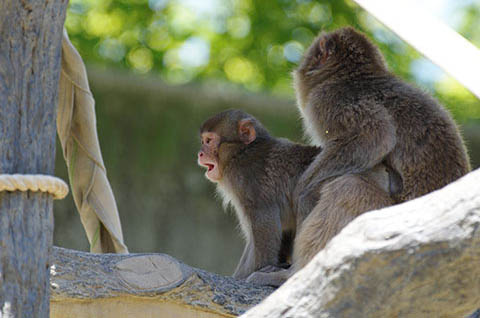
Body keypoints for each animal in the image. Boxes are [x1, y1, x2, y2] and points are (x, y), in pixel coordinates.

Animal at [196, 110, 394, 286]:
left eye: (209, 141)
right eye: (203, 141)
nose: (200, 153)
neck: (242, 151)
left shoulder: (246, 180)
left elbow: (265, 226)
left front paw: (245, 275)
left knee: (340, 189)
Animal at [294, 27, 470, 217]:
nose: (301, 67)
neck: (347, 76)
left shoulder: (328, 99)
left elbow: (377, 135)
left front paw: (304, 190)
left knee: (353, 183)